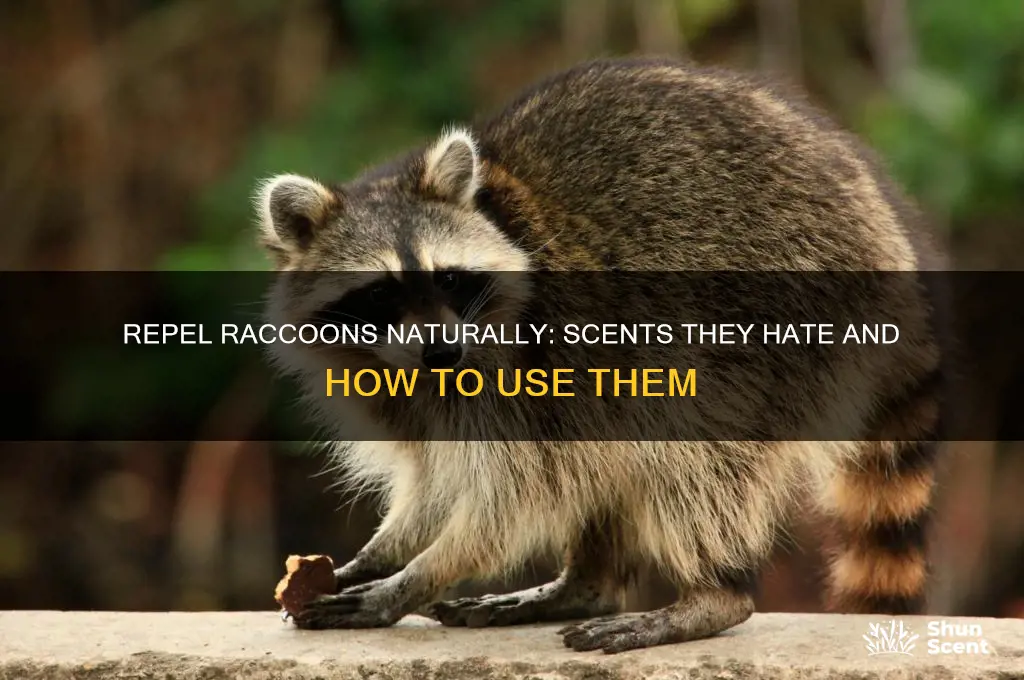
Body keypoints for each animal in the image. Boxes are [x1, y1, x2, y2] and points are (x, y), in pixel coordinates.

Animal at [255, 57, 947, 653]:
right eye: (380, 292)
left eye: (448, 278)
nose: (445, 347)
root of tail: (887, 230)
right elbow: (435, 478)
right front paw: (388, 549)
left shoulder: (534, 357)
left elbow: (509, 498)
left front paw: (416, 577)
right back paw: (587, 585)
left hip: (787, 317)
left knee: (694, 444)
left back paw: (712, 595)